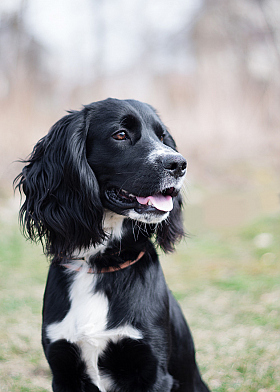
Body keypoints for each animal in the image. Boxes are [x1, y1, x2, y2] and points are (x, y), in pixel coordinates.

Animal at [14, 99, 210, 392]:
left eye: (162, 137)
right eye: (120, 134)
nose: (179, 164)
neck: (99, 265)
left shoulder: (153, 371)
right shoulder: (63, 369)